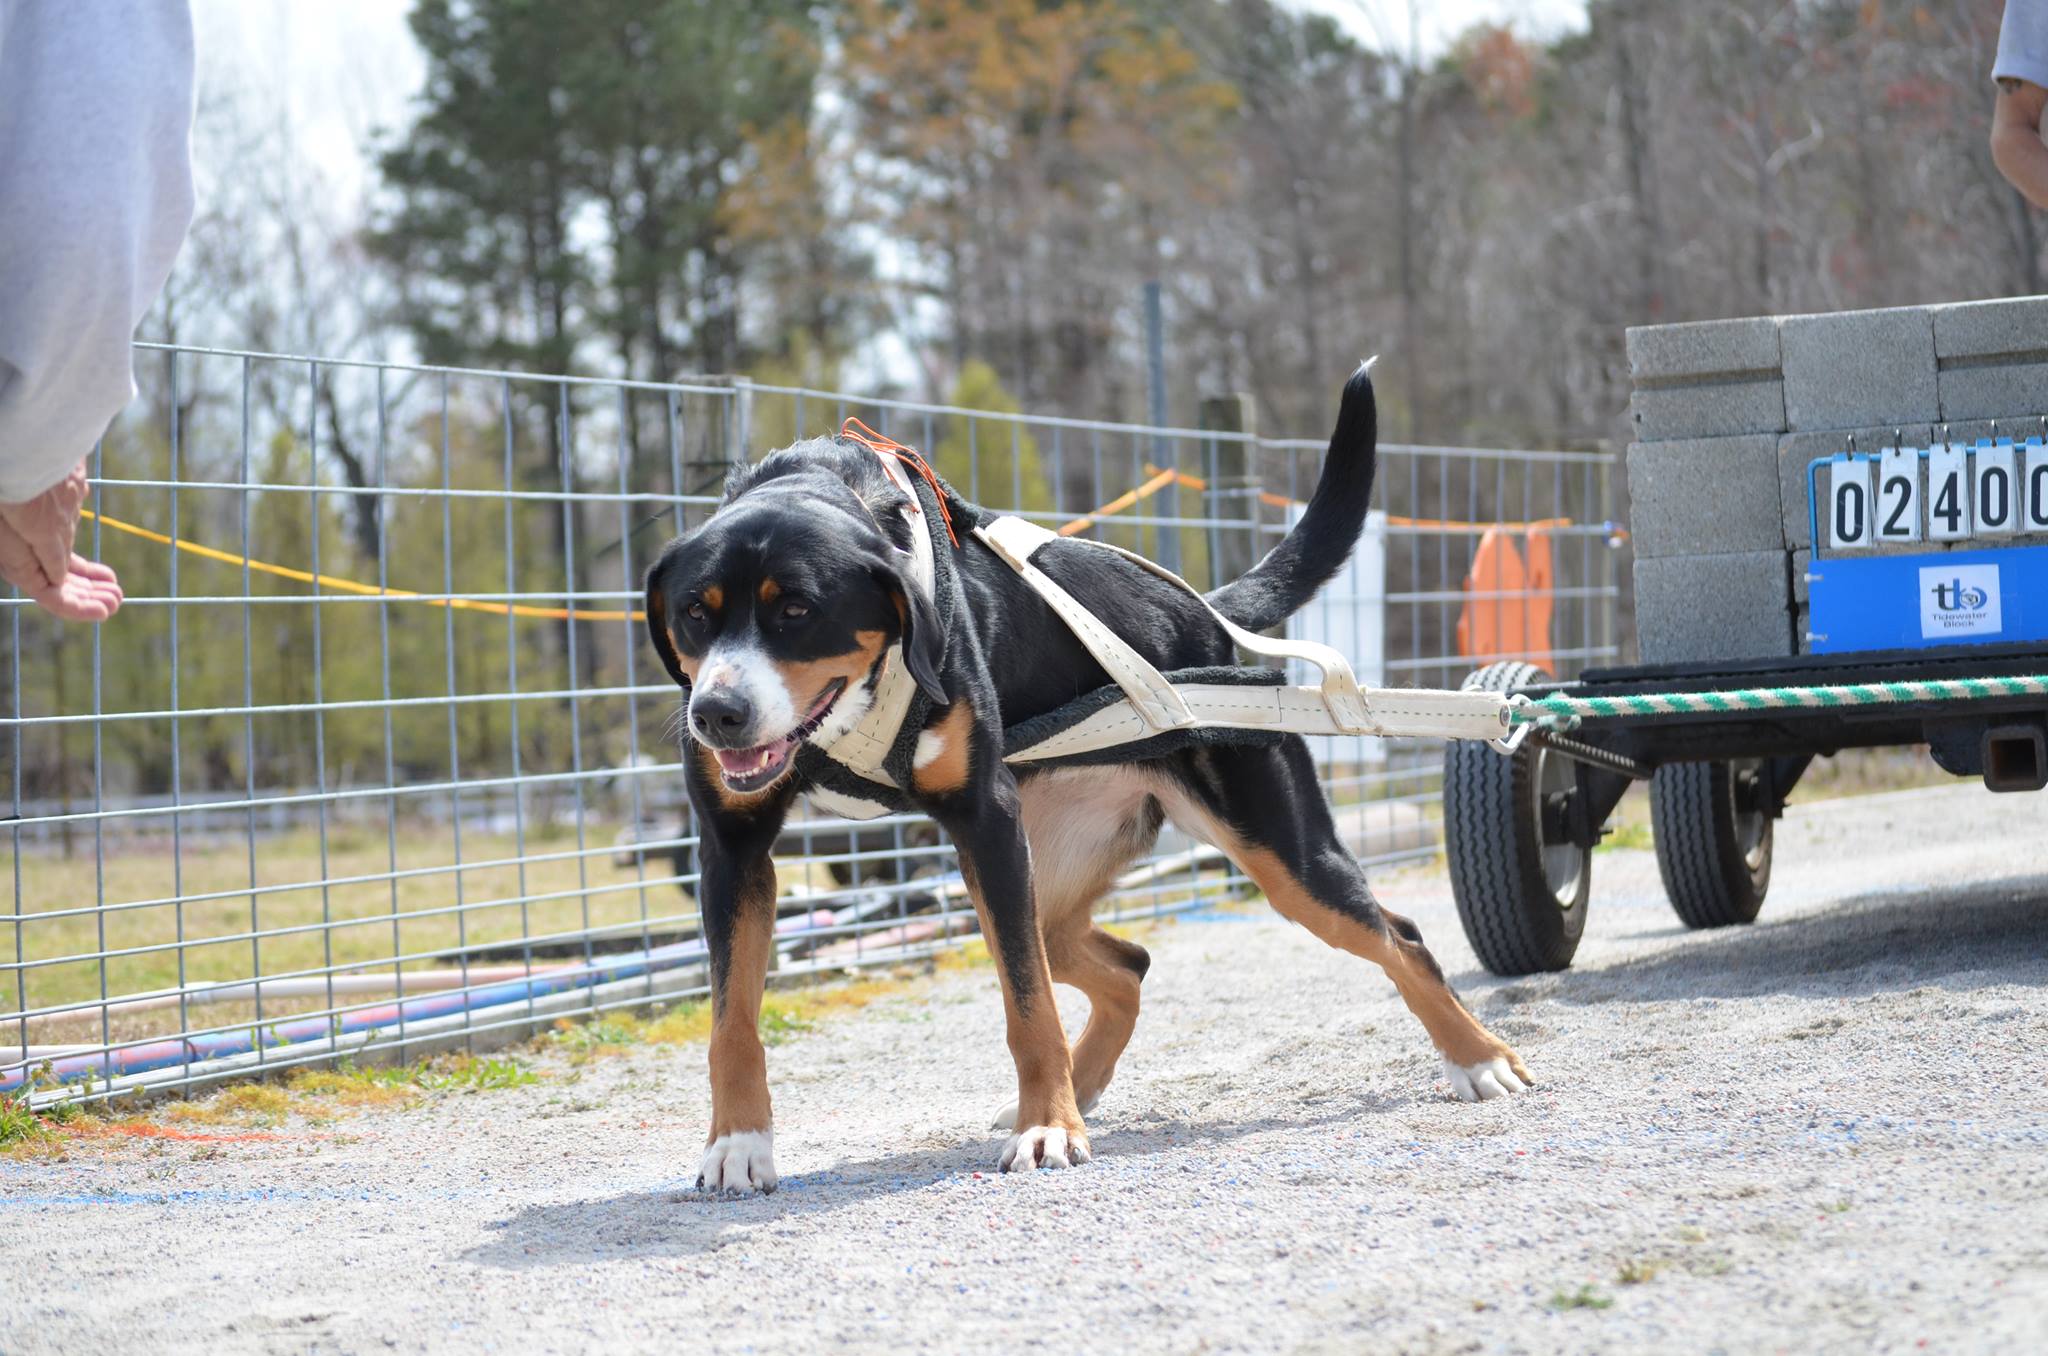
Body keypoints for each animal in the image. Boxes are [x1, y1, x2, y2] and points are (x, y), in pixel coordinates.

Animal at [647, 366, 1531, 1196]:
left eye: (796, 609)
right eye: (694, 611)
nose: (717, 713)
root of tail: (1201, 612)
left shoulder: (986, 823)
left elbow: (1027, 1006)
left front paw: (1046, 1127)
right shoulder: (734, 848)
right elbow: (731, 1020)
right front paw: (738, 1145)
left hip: (1273, 857)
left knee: (1399, 937)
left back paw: (1480, 1059)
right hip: (1040, 879)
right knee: (1126, 964)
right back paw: (1087, 1082)